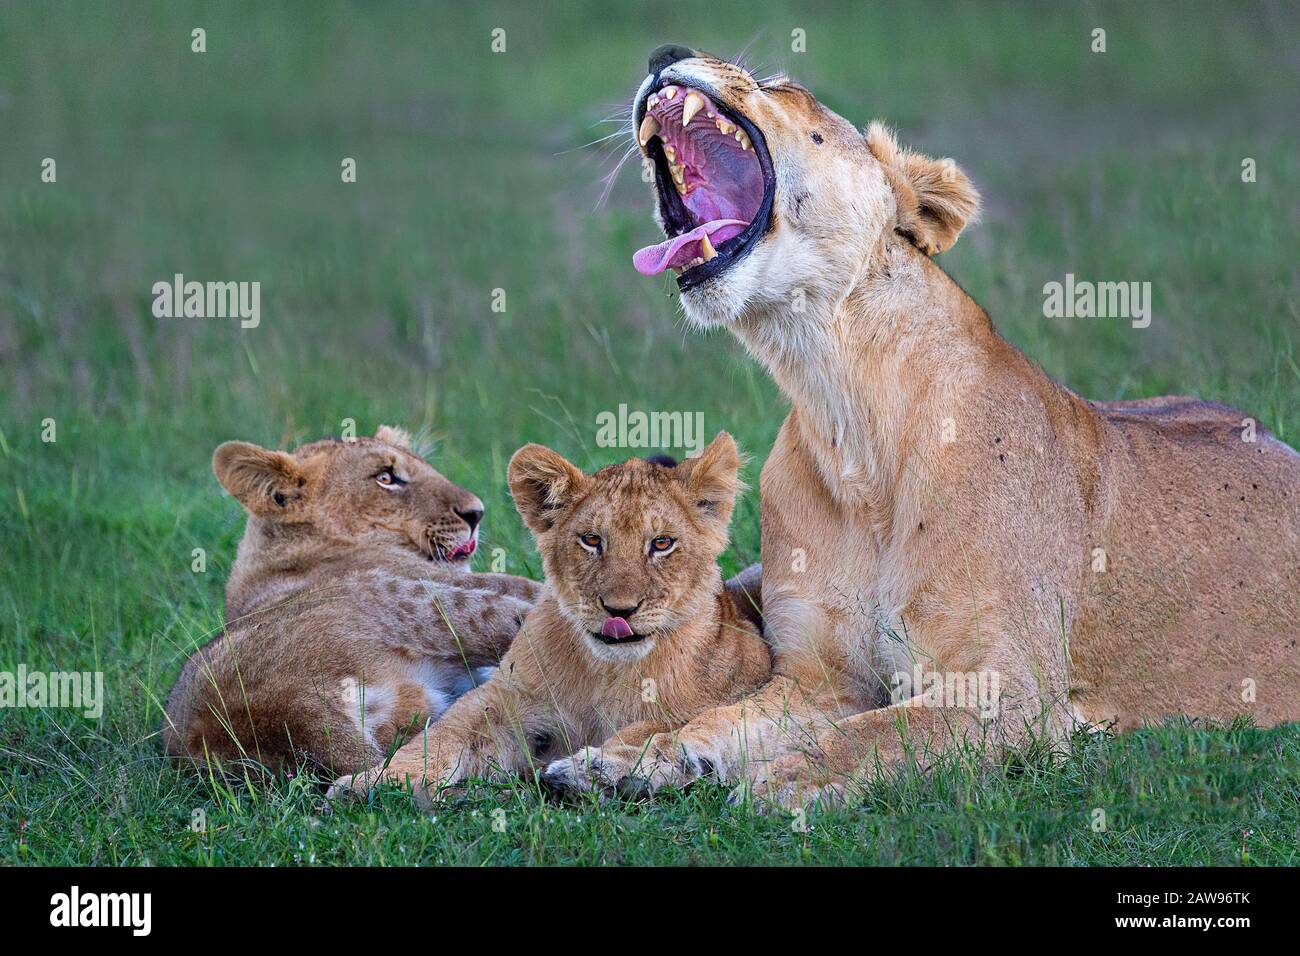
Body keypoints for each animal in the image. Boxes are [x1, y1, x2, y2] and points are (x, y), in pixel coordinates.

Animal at [162, 425, 545, 775]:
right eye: (386, 478)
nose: (476, 513)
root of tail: (276, 706)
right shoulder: (442, 578)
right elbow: (530, 586)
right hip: (408, 601)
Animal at [327, 433, 771, 800]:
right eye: (591, 540)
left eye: (662, 543)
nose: (619, 610)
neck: (608, 671)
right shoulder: (506, 697)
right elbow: (440, 736)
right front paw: (373, 782)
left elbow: (658, 727)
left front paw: (597, 769)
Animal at [611, 45, 1300, 808]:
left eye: (780, 85)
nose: (664, 55)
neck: (842, 405)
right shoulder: (818, 681)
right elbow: (722, 717)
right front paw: (650, 754)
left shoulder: (1011, 691)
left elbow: (875, 733)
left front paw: (785, 778)